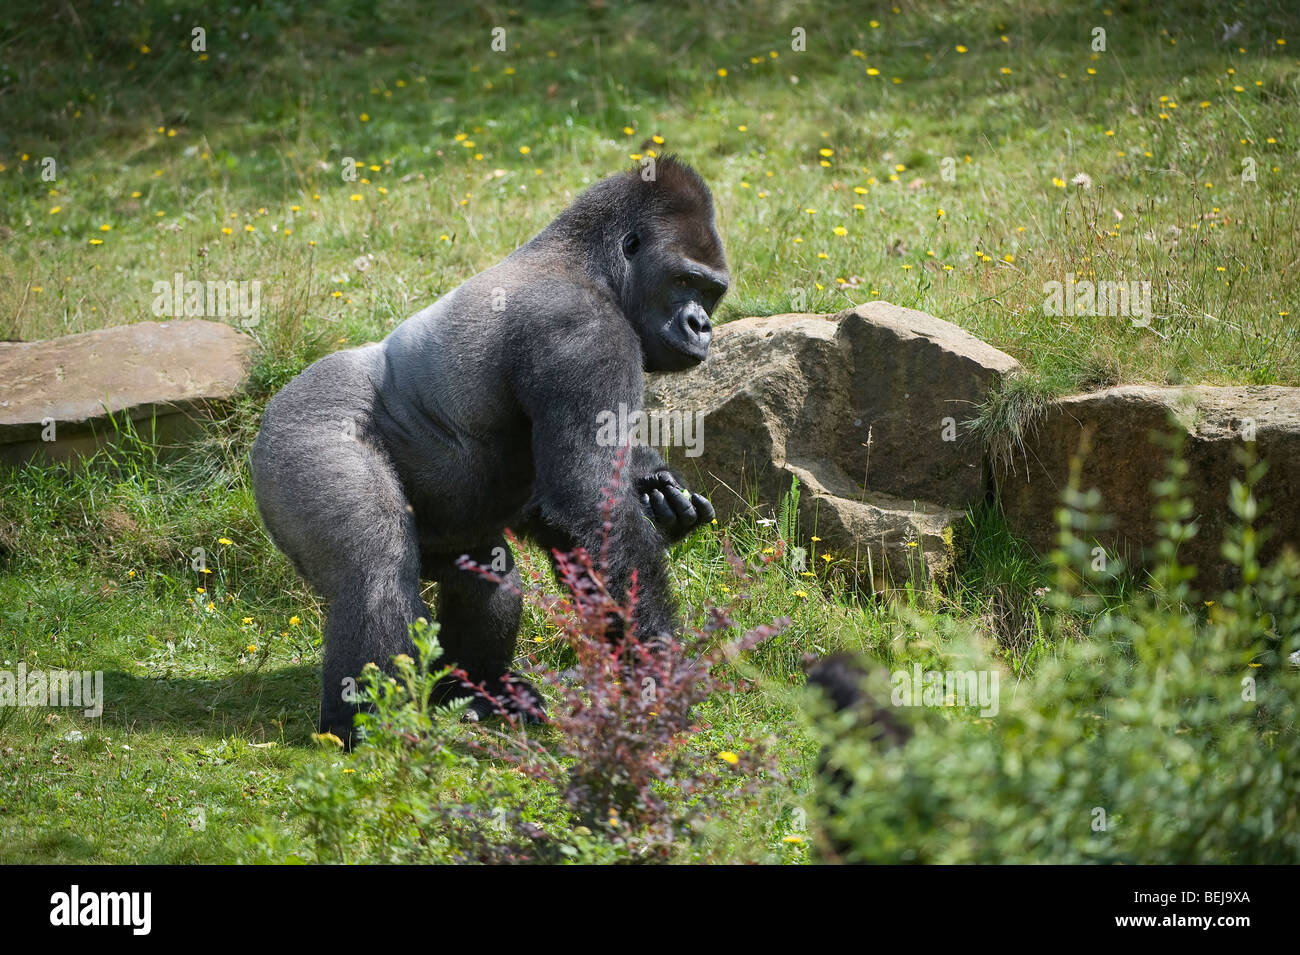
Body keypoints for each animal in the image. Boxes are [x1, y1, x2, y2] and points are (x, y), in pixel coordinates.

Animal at [248, 157, 728, 743]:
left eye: (710, 292)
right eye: (683, 281)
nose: (701, 325)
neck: (590, 265)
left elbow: (573, 514)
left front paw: (660, 491)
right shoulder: (584, 333)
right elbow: (588, 497)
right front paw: (659, 669)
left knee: (485, 571)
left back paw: (477, 690)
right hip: (299, 434)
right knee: (373, 571)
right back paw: (369, 727)